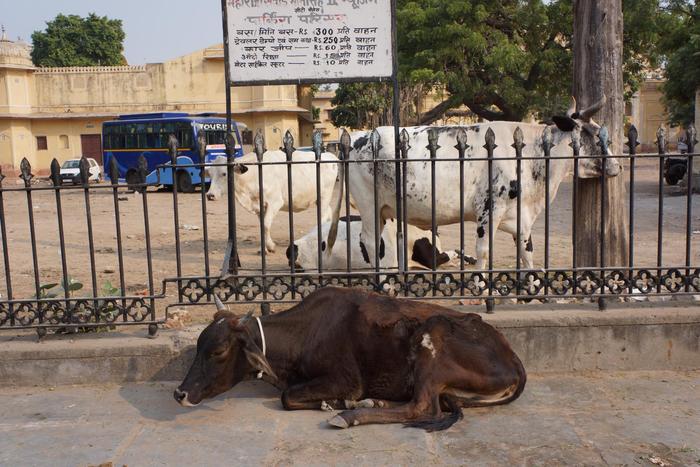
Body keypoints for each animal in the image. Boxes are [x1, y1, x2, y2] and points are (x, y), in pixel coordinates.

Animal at [175, 288, 524, 434]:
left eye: (218, 351)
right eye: (199, 344)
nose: (180, 393)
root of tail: (512, 357)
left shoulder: (346, 379)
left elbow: (287, 397)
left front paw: (336, 405)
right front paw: (335, 403)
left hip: (432, 341)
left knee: (422, 407)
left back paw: (351, 415)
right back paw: (371, 403)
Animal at [206, 152, 340, 254]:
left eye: (224, 173)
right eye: (210, 174)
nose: (210, 195)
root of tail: (330, 156)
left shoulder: (275, 202)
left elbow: (266, 225)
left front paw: (269, 247)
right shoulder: (259, 206)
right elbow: (262, 226)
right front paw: (264, 248)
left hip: (324, 196)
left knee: (323, 217)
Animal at [326, 98, 620, 270]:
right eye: (595, 134)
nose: (618, 166)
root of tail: (360, 136)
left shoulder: (521, 216)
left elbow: (527, 252)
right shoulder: (489, 210)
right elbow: (484, 251)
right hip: (369, 204)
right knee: (370, 241)